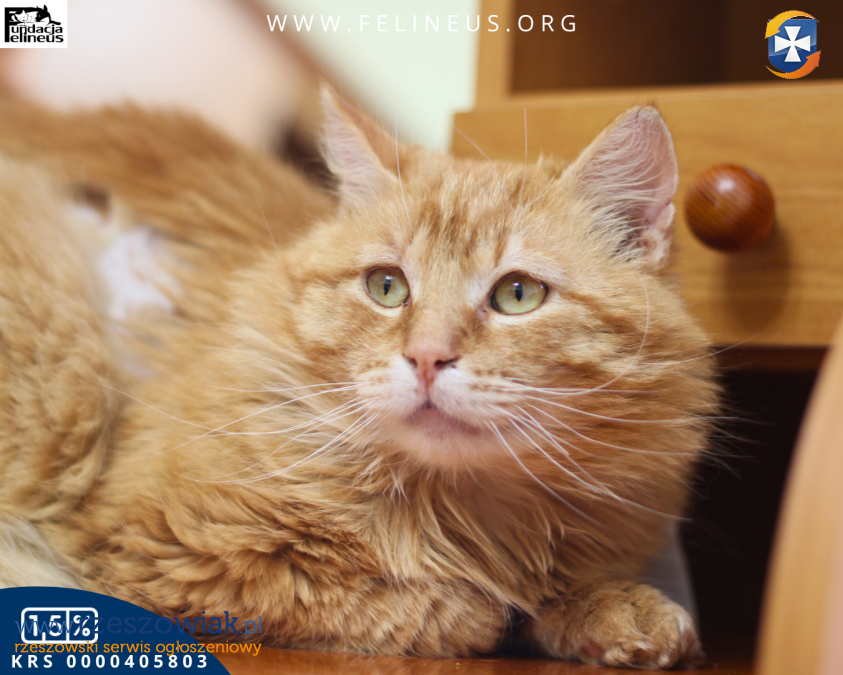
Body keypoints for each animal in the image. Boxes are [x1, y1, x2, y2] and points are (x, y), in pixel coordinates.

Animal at [0, 88, 717, 669]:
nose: (426, 357)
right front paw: (504, 610)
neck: (462, 514)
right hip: (69, 389)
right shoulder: (164, 545)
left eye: (518, 294)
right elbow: (444, 610)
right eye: (387, 286)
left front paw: (615, 611)